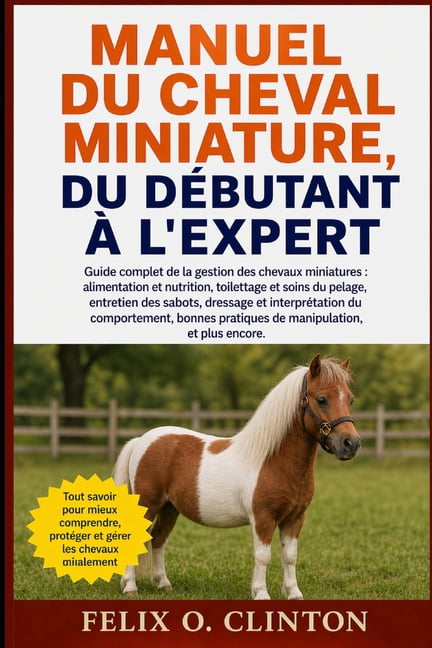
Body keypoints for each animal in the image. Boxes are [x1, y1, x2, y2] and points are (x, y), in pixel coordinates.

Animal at [113, 353, 360, 600]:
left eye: (350, 399)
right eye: (321, 399)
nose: (351, 444)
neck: (272, 460)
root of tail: (141, 440)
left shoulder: (295, 519)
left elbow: (290, 556)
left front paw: (294, 593)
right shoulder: (263, 518)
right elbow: (263, 556)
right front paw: (261, 593)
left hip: (169, 508)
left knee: (159, 538)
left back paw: (162, 583)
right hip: (148, 505)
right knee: (136, 538)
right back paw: (131, 587)